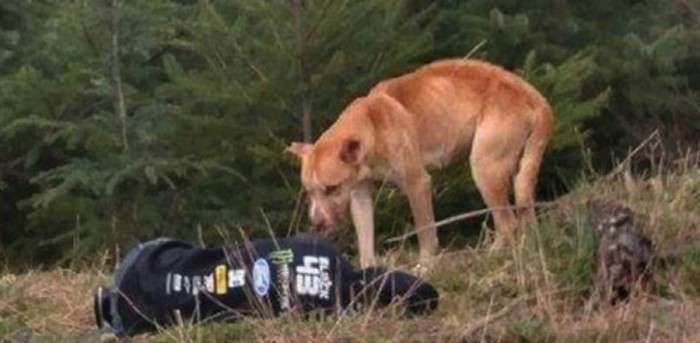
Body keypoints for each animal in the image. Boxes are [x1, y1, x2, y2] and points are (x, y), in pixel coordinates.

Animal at [288, 59, 556, 268]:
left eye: (331, 188)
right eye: (309, 192)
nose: (316, 223)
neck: (371, 126)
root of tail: (536, 98)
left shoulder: (417, 184)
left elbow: (425, 231)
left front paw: (426, 266)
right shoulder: (359, 195)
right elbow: (365, 242)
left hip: (485, 169)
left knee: (507, 224)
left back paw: (491, 256)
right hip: (518, 171)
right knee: (523, 215)